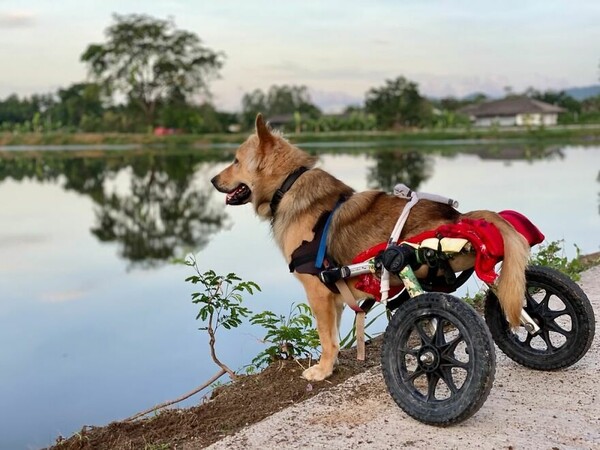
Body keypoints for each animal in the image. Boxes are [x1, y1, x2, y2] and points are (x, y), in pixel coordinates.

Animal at [212, 114, 528, 382]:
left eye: (236, 161)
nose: (213, 180)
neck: (287, 185)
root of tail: (459, 218)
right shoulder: (335, 294)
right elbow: (334, 337)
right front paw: (331, 366)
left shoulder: (318, 292)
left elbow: (326, 338)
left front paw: (322, 371)